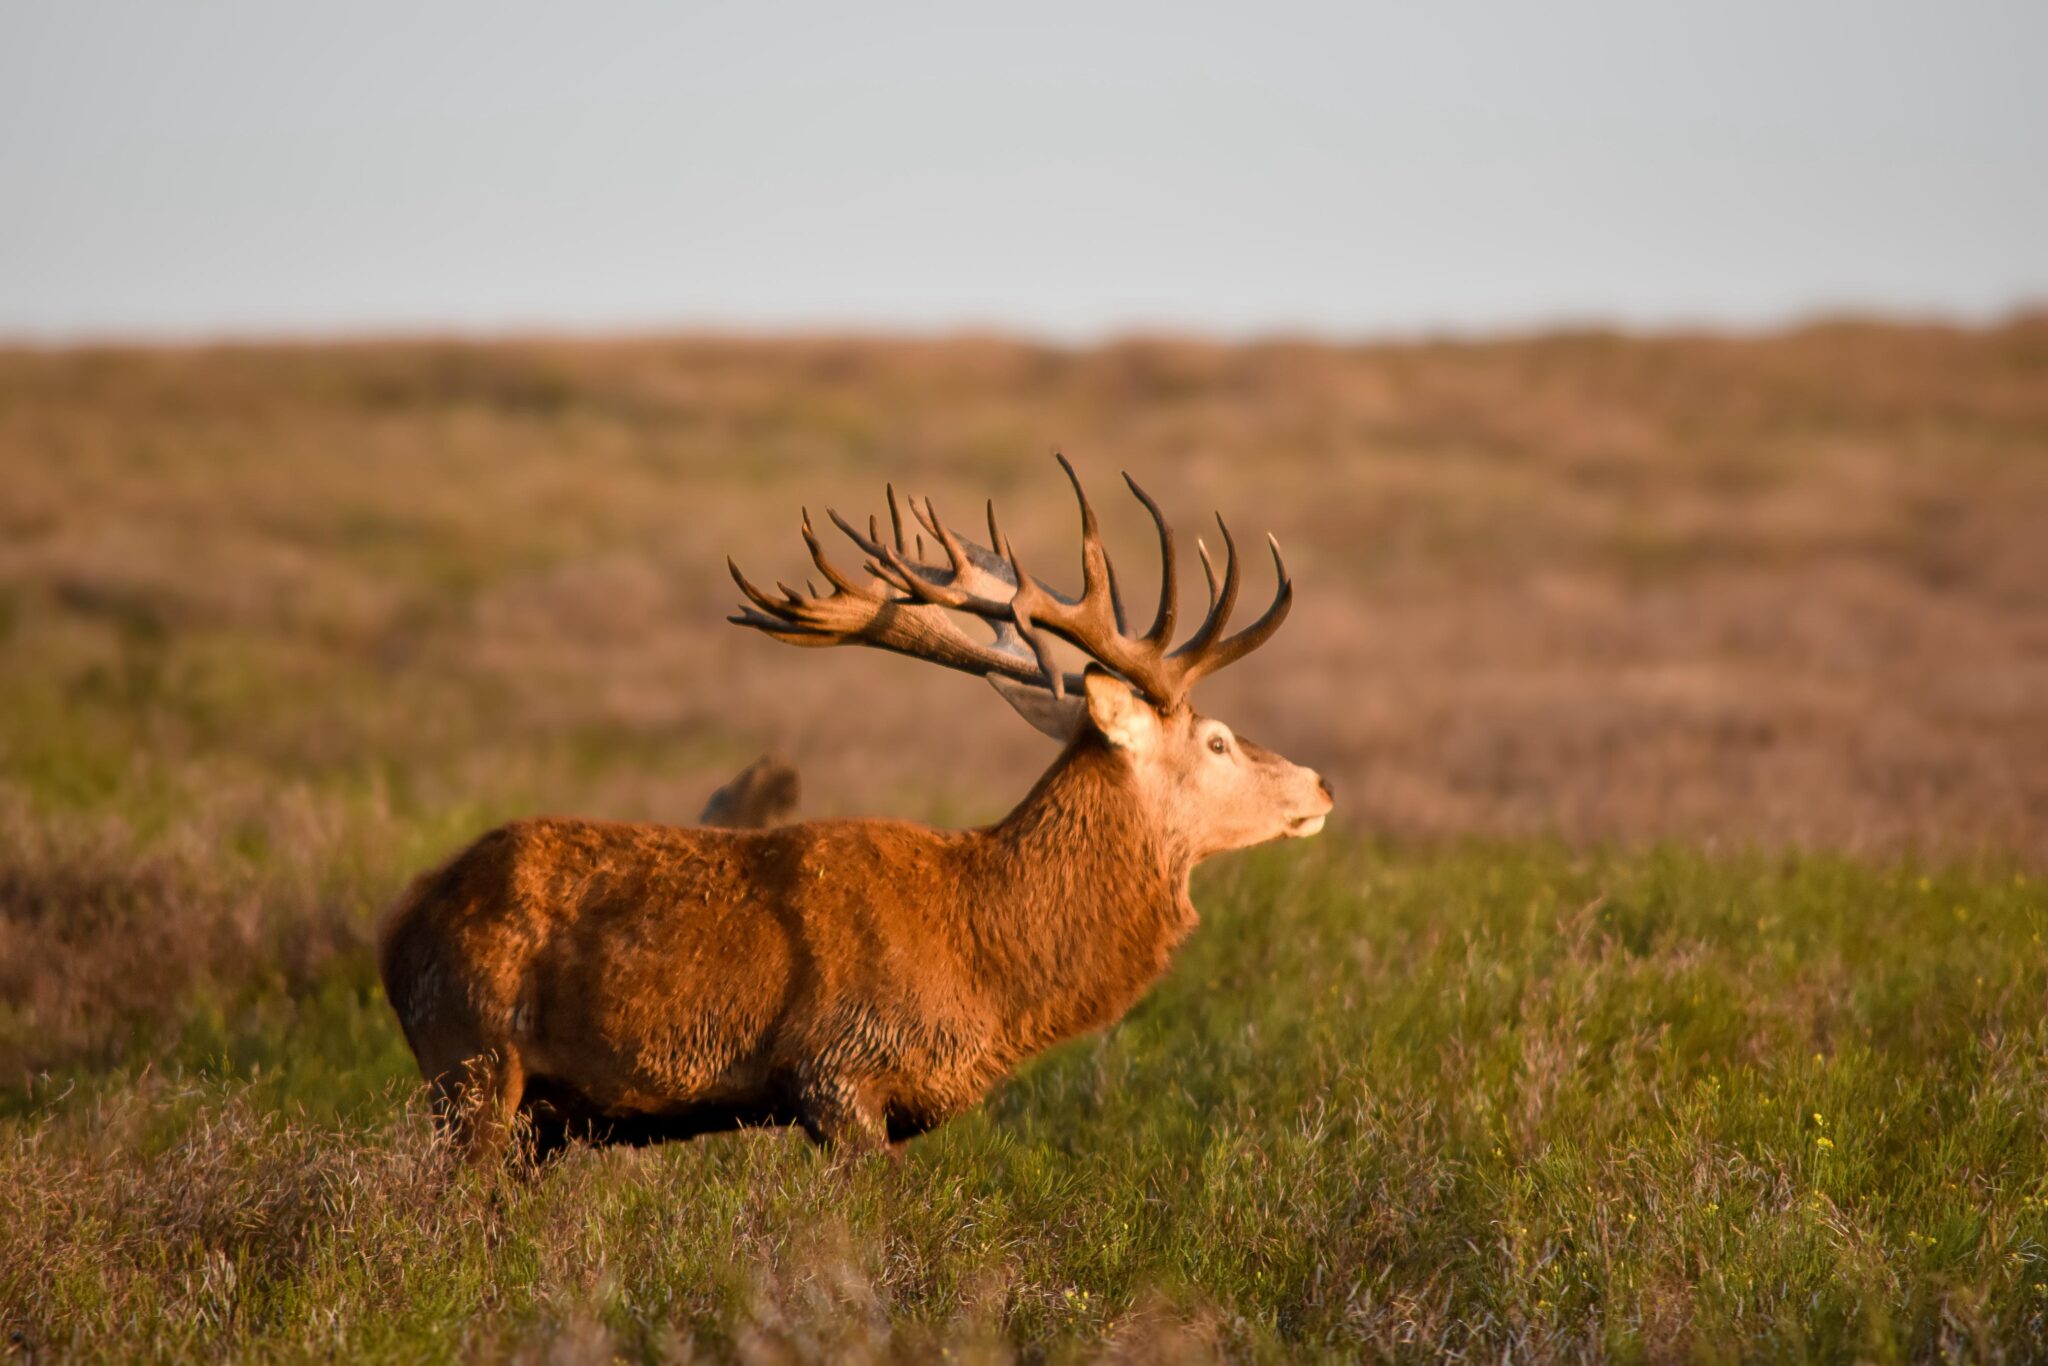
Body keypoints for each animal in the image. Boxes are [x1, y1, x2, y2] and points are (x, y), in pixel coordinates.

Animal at [377, 456, 1333, 1161]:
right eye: (1217, 741)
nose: (1320, 785)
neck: (986, 955)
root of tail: (399, 926)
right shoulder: (837, 1070)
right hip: (469, 1059)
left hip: (528, 1112)